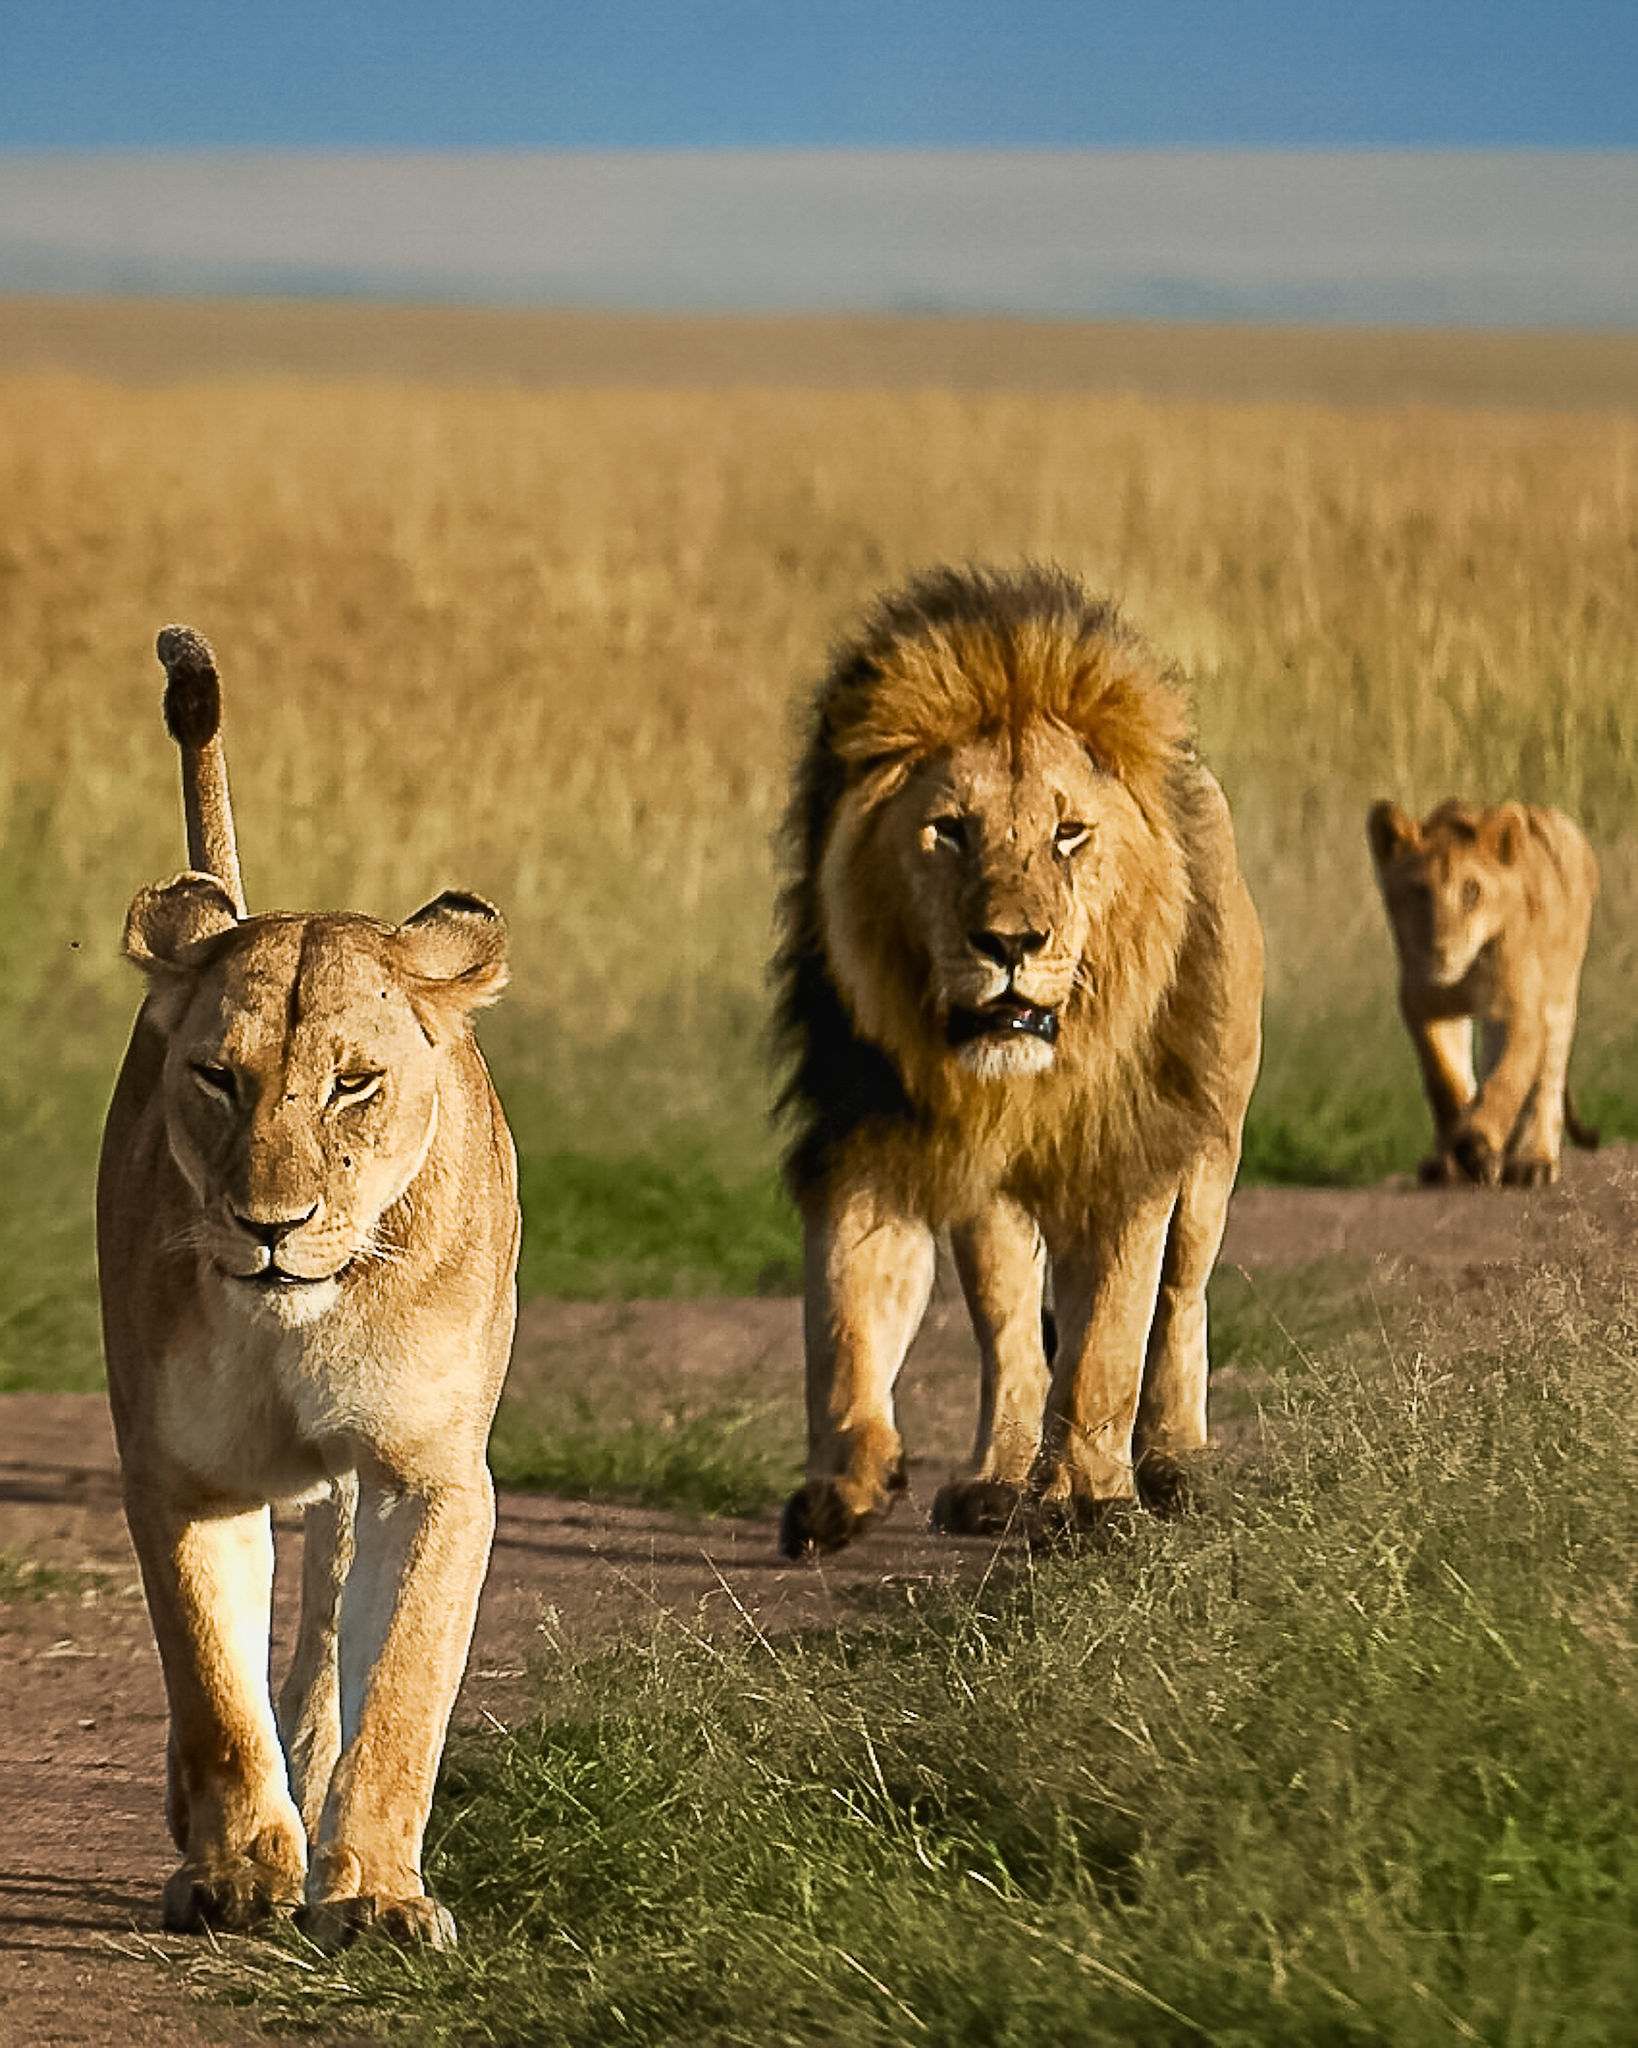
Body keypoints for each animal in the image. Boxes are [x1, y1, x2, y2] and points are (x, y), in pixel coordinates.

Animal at [98, 627, 519, 1950]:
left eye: (353, 1083)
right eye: (216, 1078)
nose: (269, 1227)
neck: (296, 1318)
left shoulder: (430, 1471)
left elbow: (401, 1686)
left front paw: (375, 1891)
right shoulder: (180, 1471)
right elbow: (213, 1682)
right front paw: (240, 1872)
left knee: (331, 1629)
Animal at [774, 564, 1264, 1555]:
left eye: (1068, 834)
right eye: (950, 830)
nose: (1009, 943)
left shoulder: (1131, 1150)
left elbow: (1110, 1338)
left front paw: (1096, 1501)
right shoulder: (875, 1130)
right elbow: (848, 1312)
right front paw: (845, 1485)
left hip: (1213, 1149)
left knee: (1179, 1303)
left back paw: (1172, 1463)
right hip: (992, 1204)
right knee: (1011, 1335)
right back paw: (997, 1482)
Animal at [1367, 797, 1599, 1188]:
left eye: (1471, 891)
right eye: (1419, 891)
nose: (1440, 950)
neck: (1465, 972)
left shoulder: (1519, 1011)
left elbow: (1506, 1082)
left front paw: (1475, 1146)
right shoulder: (1424, 1005)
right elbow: (1447, 1079)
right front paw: (1458, 1154)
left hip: (1560, 995)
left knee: (1546, 1082)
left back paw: (1533, 1162)